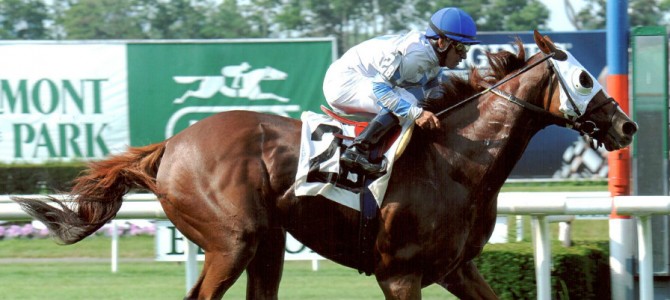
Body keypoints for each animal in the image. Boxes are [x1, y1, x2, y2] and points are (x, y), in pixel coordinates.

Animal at [13, 31, 636, 298]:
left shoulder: (456, 269)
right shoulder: (400, 274)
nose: (626, 126)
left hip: (266, 244)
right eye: (585, 77)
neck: (459, 162)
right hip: (232, 240)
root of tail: (173, 143)